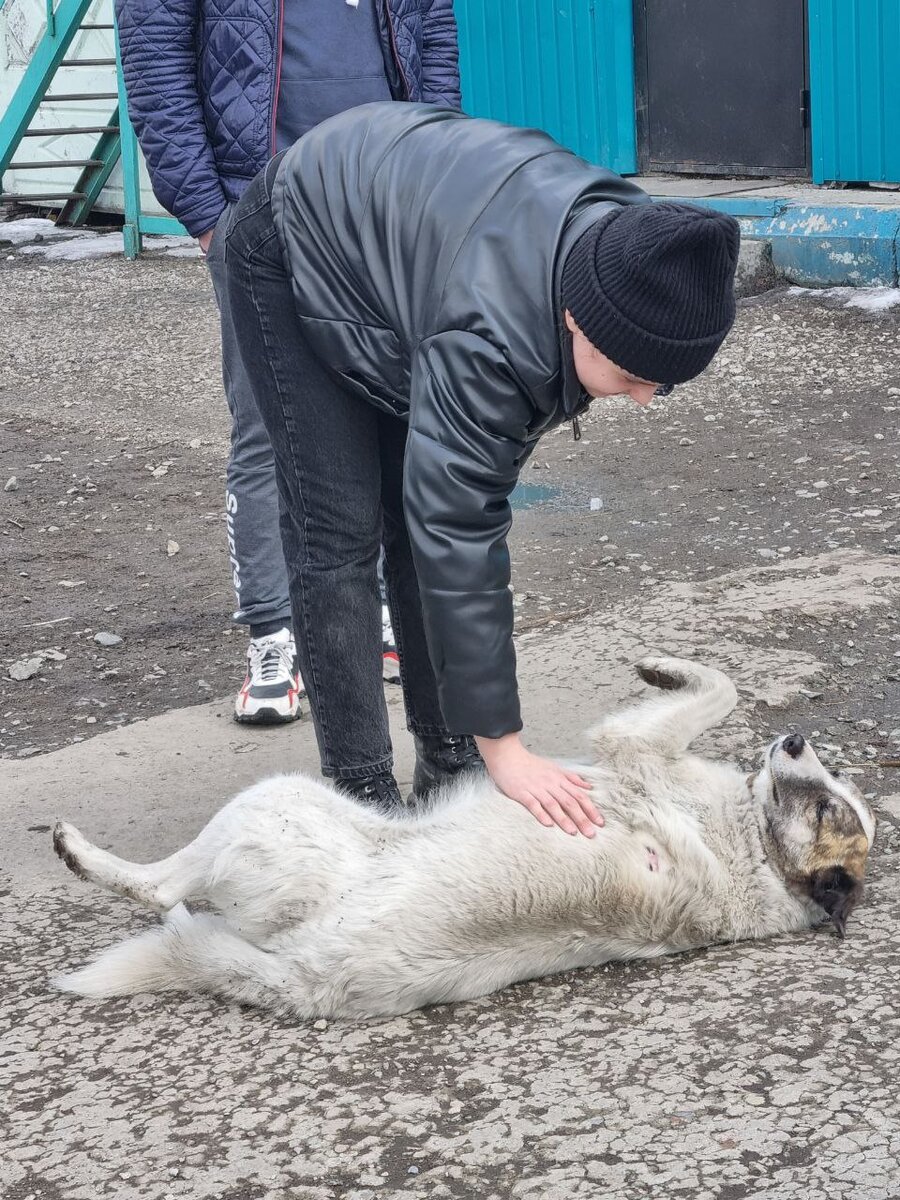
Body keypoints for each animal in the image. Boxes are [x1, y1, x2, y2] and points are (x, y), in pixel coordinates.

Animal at [52, 662, 878, 1017]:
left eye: (828, 810)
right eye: (833, 790)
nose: (795, 739)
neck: (759, 853)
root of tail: (312, 976)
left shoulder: (631, 748)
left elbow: (718, 688)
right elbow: (722, 687)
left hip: (278, 805)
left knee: (161, 886)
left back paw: (76, 850)